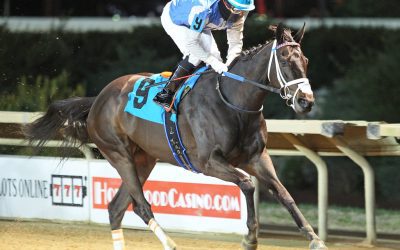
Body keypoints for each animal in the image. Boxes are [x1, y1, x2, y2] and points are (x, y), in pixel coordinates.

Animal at [25, 23, 326, 250]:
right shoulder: (208, 162)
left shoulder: (257, 158)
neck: (234, 101)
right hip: (118, 153)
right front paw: (250, 238)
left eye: (306, 61)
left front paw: (314, 238)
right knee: (141, 206)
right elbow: (247, 185)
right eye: (285, 61)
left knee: (116, 208)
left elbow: (284, 193)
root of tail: (98, 98)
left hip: (144, 158)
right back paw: (170, 243)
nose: (306, 102)